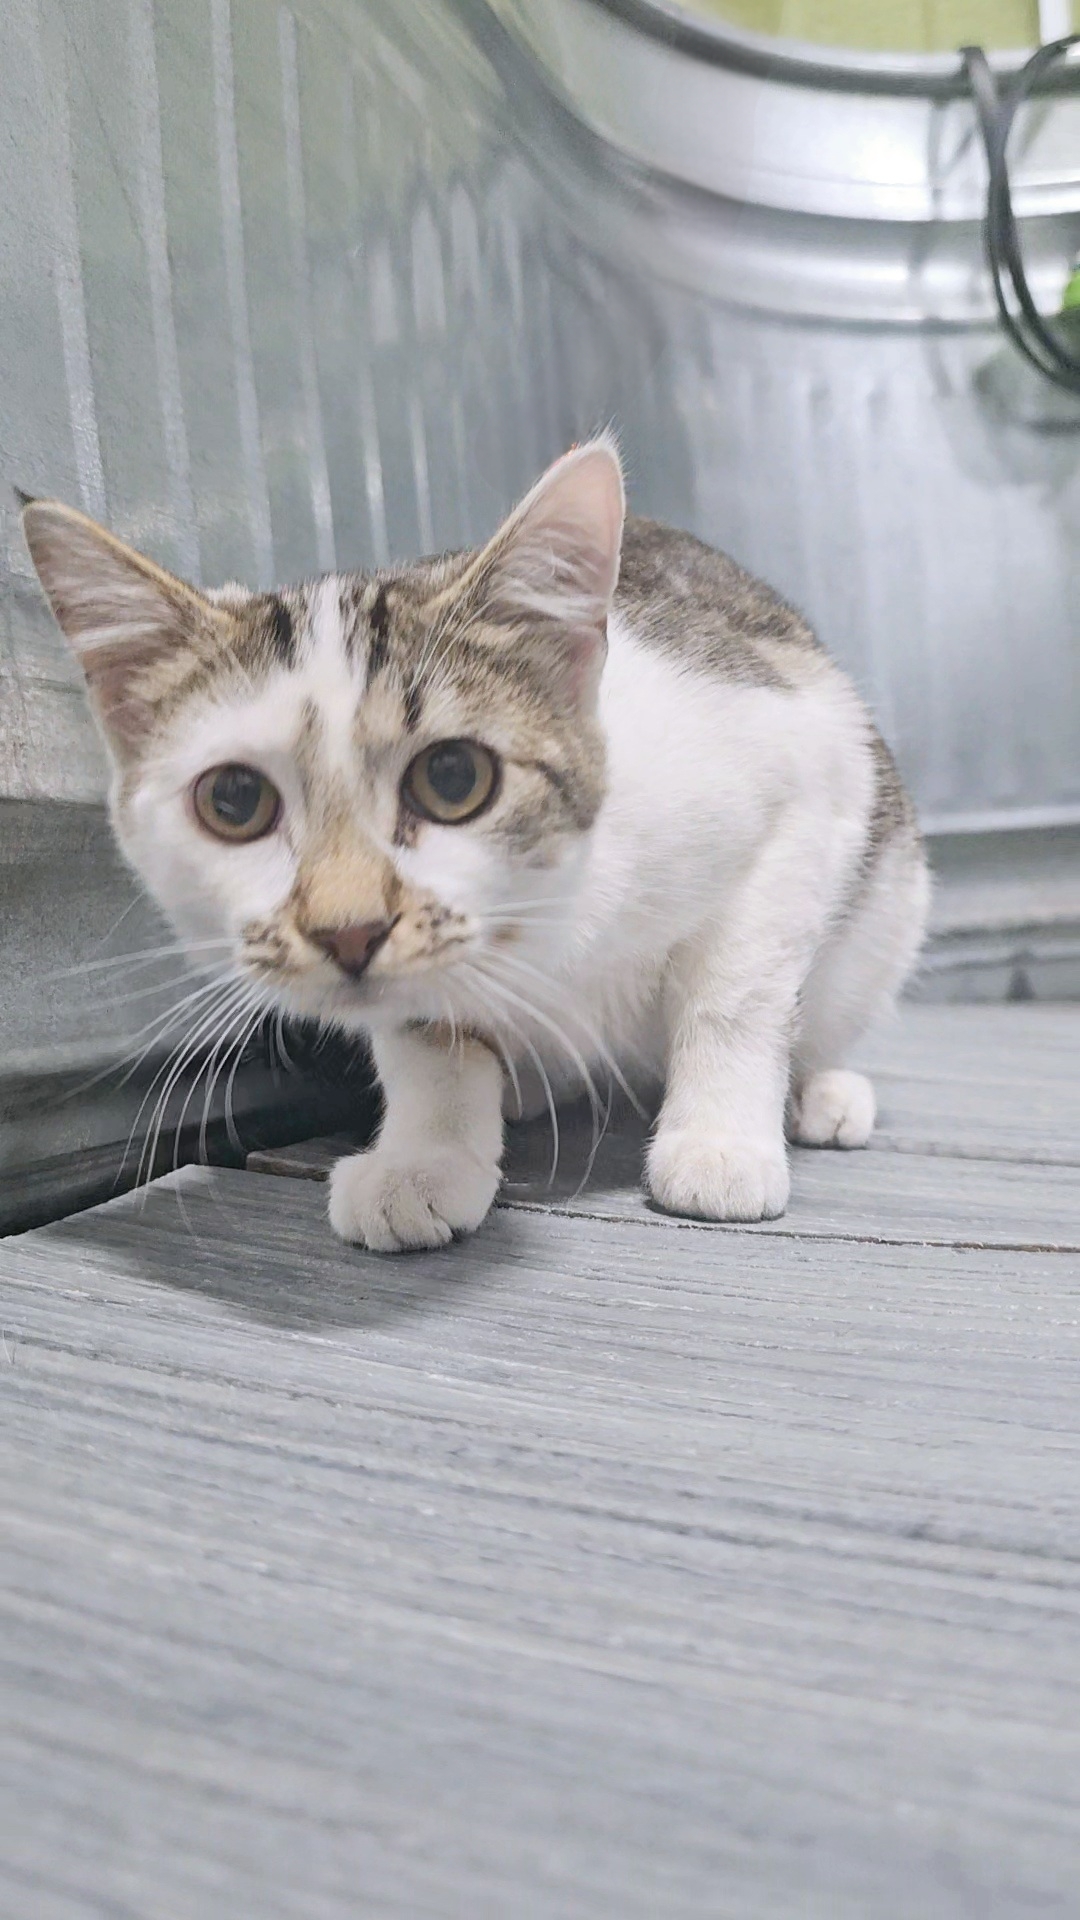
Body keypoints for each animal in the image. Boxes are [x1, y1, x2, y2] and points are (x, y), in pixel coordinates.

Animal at [21, 445, 926, 1259]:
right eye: (234, 801)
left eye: (454, 778)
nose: (348, 930)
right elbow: (426, 1033)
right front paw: (425, 1159)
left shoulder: (802, 777)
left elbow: (735, 994)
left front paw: (718, 1144)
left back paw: (823, 1090)